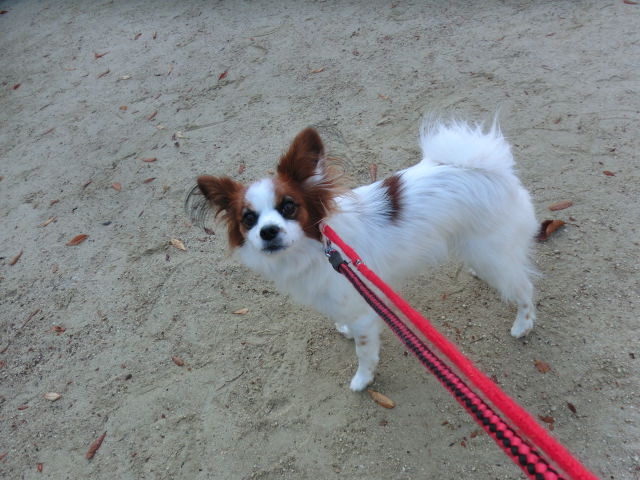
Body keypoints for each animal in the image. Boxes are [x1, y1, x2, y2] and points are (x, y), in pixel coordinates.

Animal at [188, 119, 538, 391]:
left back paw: (523, 324)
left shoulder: (365, 316)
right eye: (248, 218)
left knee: (523, 286)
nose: (268, 232)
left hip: (490, 252)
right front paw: (343, 331)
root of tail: (484, 165)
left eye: (288, 206)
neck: (319, 248)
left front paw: (362, 380)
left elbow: (364, 353)